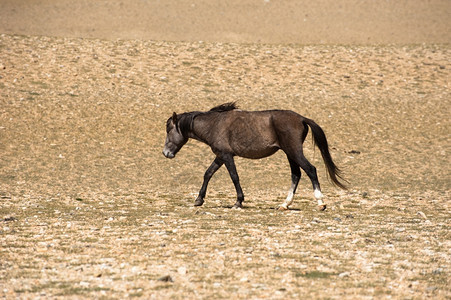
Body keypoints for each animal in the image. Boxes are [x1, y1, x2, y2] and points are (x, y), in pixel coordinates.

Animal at [164, 103, 348, 211]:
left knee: (310, 170)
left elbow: (234, 177)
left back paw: (320, 203)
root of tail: (302, 118)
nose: (166, 153)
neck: (214, 124)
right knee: (296, 174)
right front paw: (199, 200)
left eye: (169, 129)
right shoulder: (220, 156)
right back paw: (284, 204)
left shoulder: (226, 156)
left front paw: (238, 202)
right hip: (290, 154)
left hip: (294, 151)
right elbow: (208, 174)